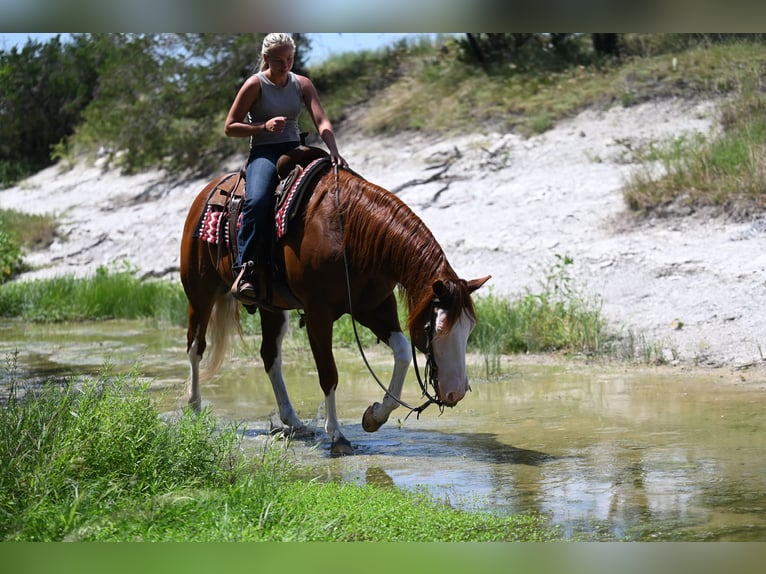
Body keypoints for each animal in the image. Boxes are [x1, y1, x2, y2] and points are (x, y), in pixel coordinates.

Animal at [180, 156, 490, 455]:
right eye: (434, 329)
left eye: (469, 330)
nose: (456, 392)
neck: (349, 232)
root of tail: (209, 190)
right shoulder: (318, 313)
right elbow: (328, 373)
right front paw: (338, 436)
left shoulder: (374, 307)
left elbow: (402, 353)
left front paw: (375, 416)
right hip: (200, 292)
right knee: (196, 346)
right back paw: (194, 410)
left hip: (271, 307)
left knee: (270, 355)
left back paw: (294, 421)